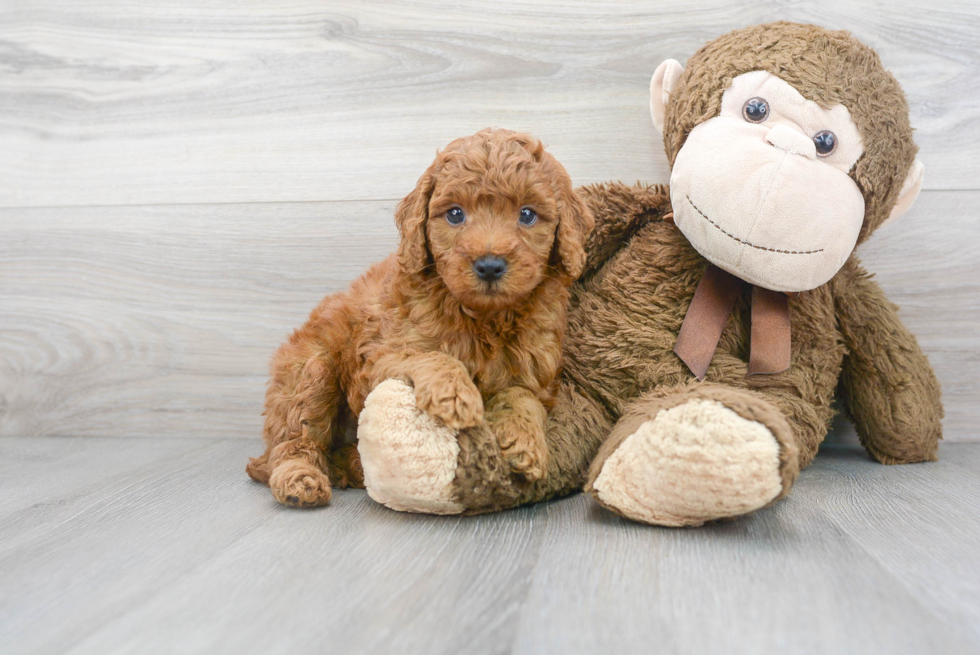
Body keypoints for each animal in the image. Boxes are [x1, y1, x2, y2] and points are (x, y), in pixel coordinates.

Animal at [247, 128, 596, 508]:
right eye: (455, 214)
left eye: (528, 215)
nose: (489, 265)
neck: (484, 318)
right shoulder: (378, 359)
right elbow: (432, 356)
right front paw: (455, 394)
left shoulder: (537, 369)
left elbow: (522, 395)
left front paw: (525, 440)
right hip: (309, 373)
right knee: (294, 440)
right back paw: (300, 479)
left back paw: (351, 465)